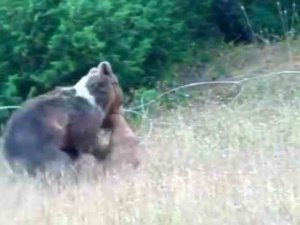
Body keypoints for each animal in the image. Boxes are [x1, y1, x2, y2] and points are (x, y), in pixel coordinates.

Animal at [2, 60, 130, 177]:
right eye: (117, 83)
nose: (122, 111)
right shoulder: (83, 118)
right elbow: (88, 141)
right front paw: (105, 150)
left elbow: (73, 149)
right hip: (36, 148)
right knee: (60, 162)